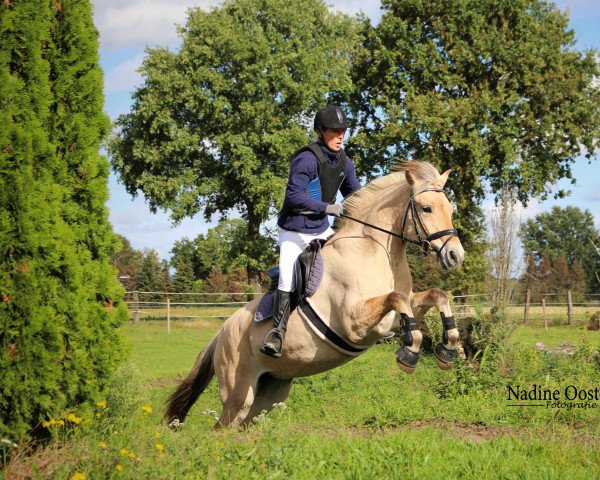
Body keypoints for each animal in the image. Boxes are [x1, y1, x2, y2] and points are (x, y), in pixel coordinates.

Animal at [164, 160, 464, 428]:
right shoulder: (355, 324)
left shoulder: (400, 311)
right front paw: (408, 355)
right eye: (426, 208)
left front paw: (448, 350)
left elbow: (437, 295)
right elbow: (397, 299)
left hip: (268, 394)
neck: (374, 249)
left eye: (450, 209)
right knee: (221, 428)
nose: (455, 255)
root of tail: (221, 333)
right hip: (239, 394)